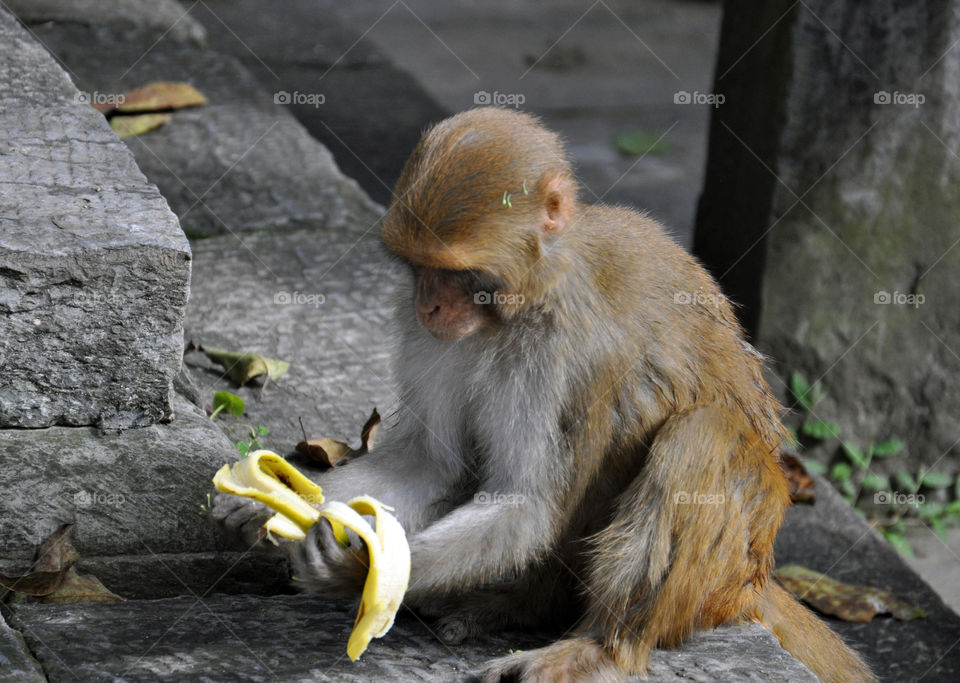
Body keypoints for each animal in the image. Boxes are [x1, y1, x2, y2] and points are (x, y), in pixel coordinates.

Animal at [213, 107, 873, 682]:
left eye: (456, 274)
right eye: (420, 270)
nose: (429, 305)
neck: (520, 304)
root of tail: (756, 578)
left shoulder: (556, 346)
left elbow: (528, 505)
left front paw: (357, 572)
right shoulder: (432, 335)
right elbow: (429, 464)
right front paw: (276, 503)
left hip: (733, 560)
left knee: (698, 433)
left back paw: (596, 642)